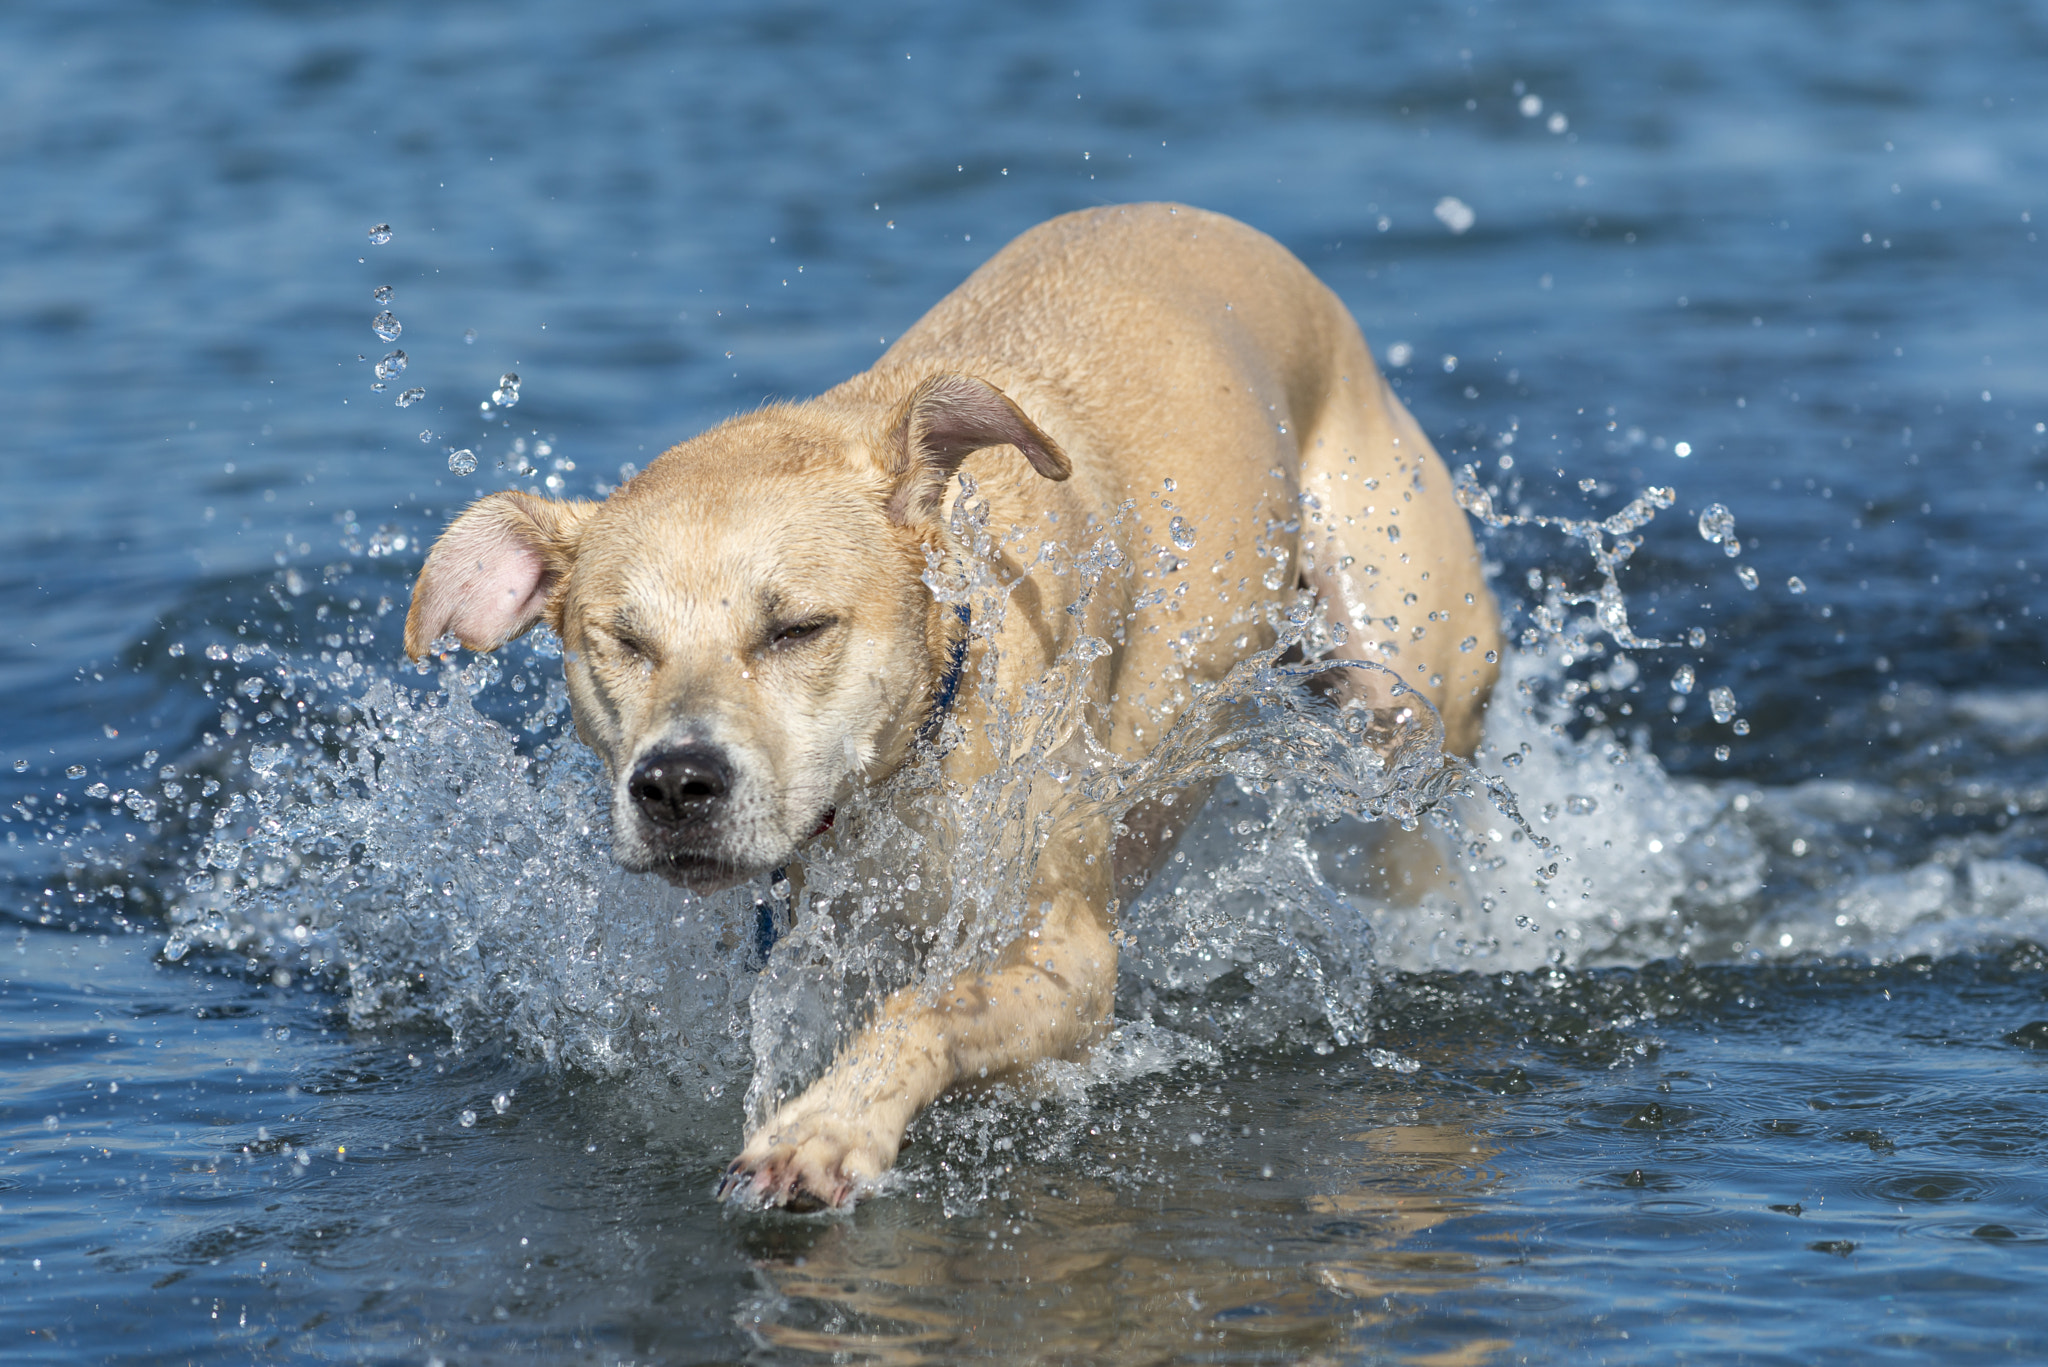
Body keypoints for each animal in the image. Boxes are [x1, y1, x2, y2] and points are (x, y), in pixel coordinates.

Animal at [403, 202, 1507, 1205]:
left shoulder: (1063, 951)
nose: (675, 781)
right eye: (621, 642)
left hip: (1401, 669)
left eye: (797, 627)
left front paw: (822, 1129)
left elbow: (925, 1010)